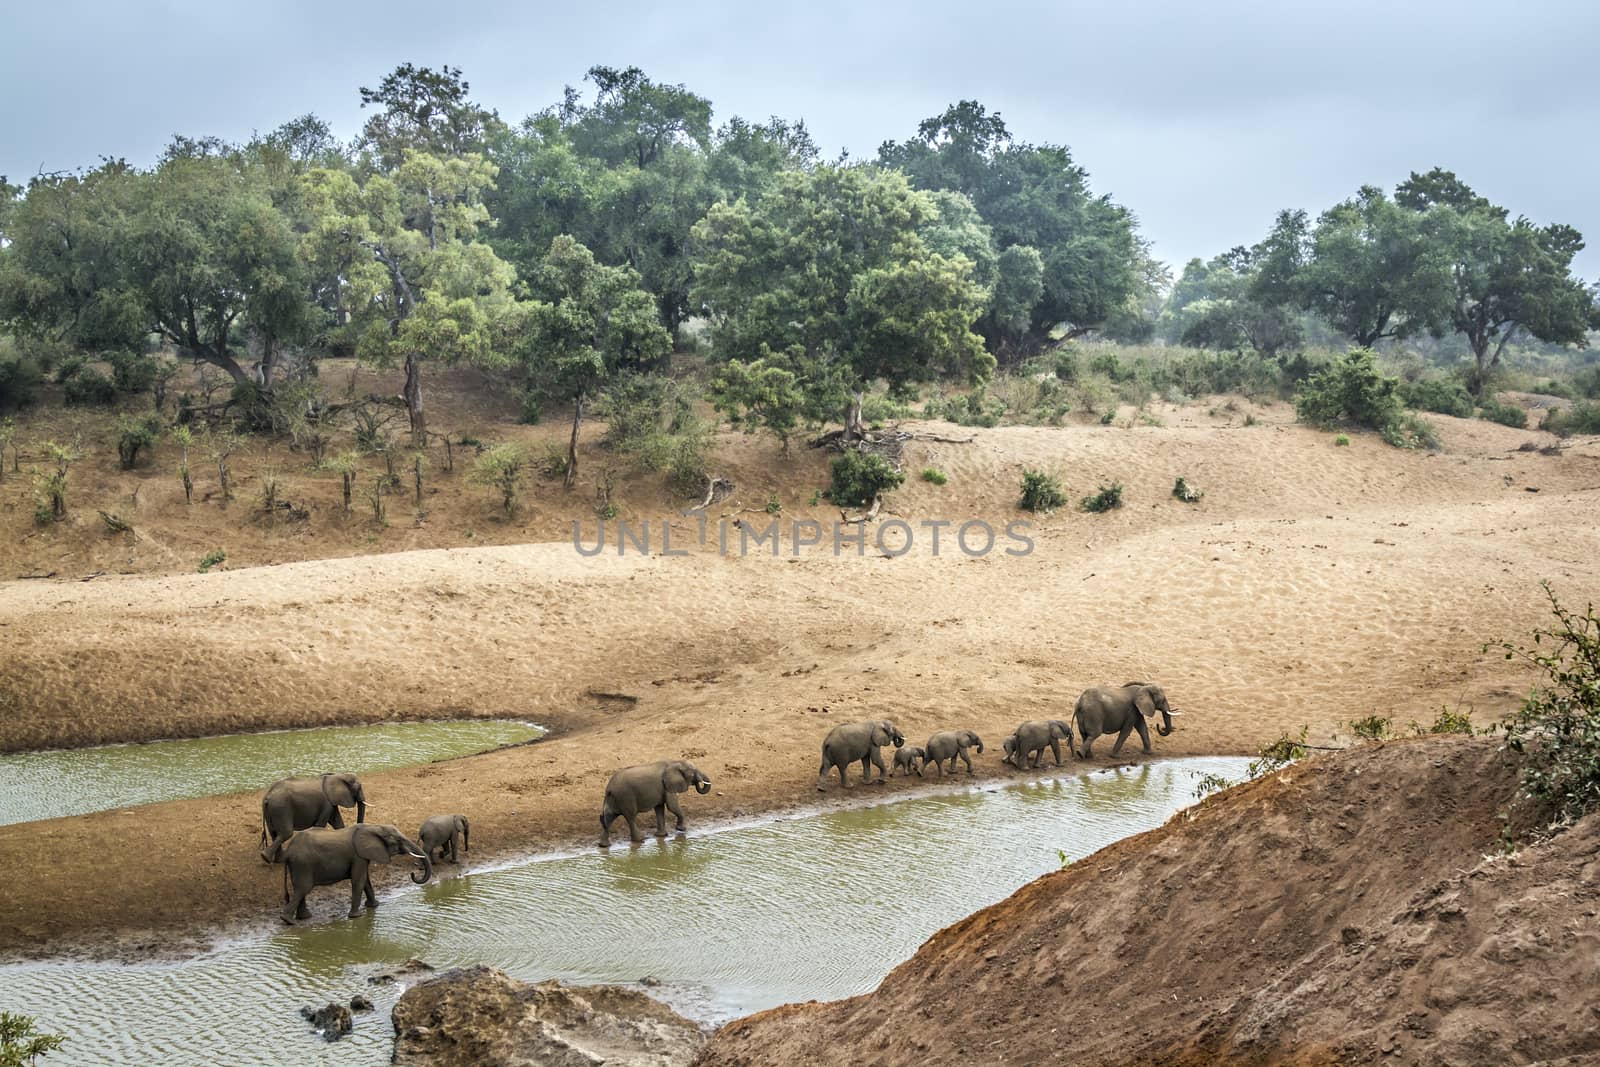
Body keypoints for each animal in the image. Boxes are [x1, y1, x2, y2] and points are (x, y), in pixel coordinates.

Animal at [273, 825, 432, 927]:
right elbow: (359, 880)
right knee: (303, 888)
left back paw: (304, 918)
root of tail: (288, 851)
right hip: (303, 863)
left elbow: (365, 880)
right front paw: (357, 917)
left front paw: (374, 906)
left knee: (300, 889)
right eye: (398, 840)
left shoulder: (362, 856)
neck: (373, 827)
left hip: (299, 865)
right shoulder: (358, 856)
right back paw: (289, 921)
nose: (413, 873)